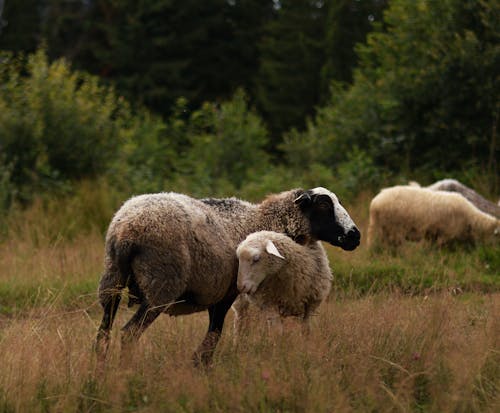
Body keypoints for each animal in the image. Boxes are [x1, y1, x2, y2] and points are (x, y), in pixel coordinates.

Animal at [94, 186, 360, 364]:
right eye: (324, 206)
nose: (355, 236)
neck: (264, 221)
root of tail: (126, 230)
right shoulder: (226, 291)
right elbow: (215, 334)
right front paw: (202, 366)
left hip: (112, 278)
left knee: (103, 333)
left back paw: (101, 370)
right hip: (161, 284)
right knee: (129, 334)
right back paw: (127, 371)